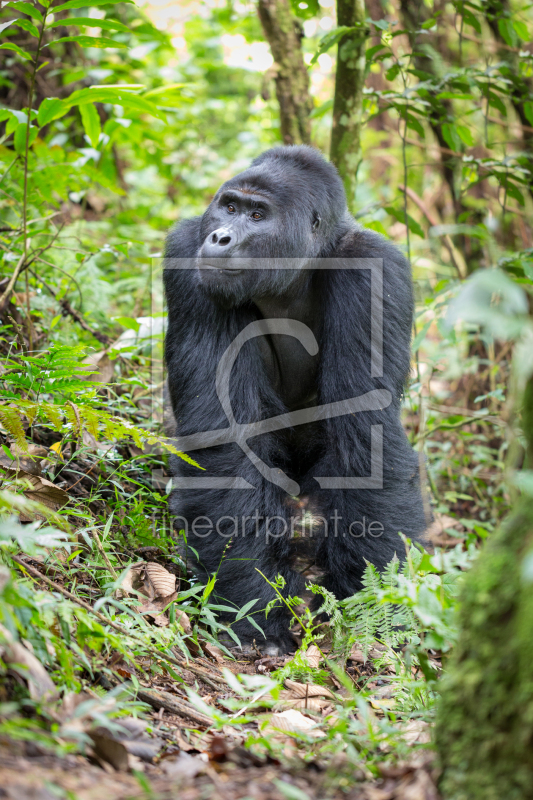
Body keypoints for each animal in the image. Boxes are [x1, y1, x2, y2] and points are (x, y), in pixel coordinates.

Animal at [164, 147, 426, 652]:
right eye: (229, 206)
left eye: (257, 215)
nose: (220, 237)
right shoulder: (187, 252)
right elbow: (225, 444)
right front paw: (253, 605)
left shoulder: (376, 268)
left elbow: (367, 438)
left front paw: (371, 614)